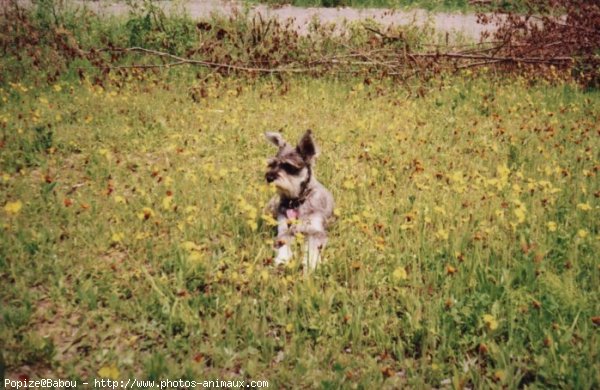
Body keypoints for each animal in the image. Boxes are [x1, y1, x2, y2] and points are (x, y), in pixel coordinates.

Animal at [264, 129, 336, 270]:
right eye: (272, 164)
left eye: (289, 166)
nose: (269, 177)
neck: (296, 201)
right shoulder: (284, 230)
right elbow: (283, 243)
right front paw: (283, 260)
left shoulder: (315, 232)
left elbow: (314, 249)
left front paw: (311, 264)